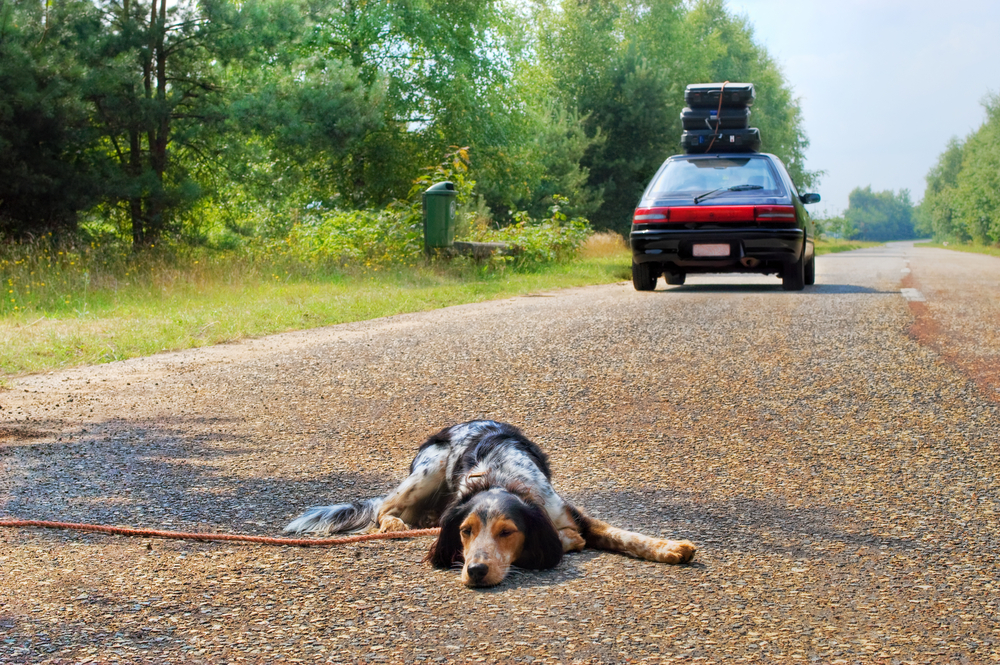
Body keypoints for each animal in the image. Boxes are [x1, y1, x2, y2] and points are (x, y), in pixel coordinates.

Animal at [286, 420, 700, 588]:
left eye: (507, 532)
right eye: (465, 532)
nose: (475, 571)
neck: (500, 478)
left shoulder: (568, 513)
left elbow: (622, 535)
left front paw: (669, 547)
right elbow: (571, 541)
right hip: (429, 468)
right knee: (383, 511)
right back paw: (395, 525)